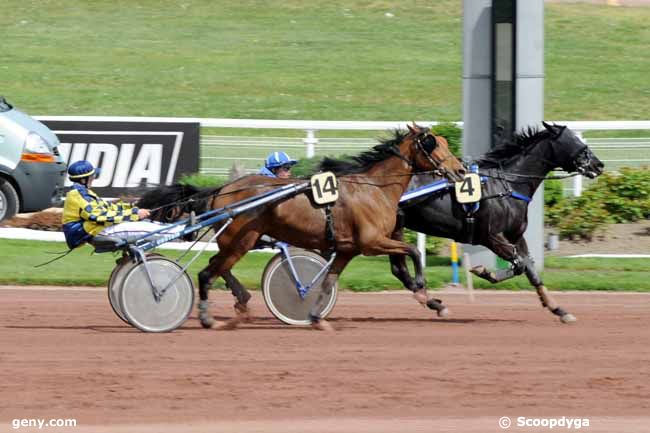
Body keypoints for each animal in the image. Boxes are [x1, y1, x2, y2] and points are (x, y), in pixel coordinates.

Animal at [195, 123, 464, 330]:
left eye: (443, 141)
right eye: (432, 144)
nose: (460, 170)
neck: (375, 189)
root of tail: (222, 189)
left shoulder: (347, 249)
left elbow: (327, 282)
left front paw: (316, 318)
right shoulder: (372, 242)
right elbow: (414, 251)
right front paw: (421, 287)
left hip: (237, 242)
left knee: (216, 266)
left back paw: (240, 301)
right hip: (240, 241)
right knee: (207, 273)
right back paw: (208, 317)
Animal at [392, 120, 604, 320]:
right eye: (575, 142)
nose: (599, 165)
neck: (507, 185)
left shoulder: (516, 235)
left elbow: (530, 268)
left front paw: (558, 309)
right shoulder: (490, 236)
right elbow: (519, 265)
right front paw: (484, 271)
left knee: (398, 269)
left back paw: (433, 303)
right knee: (400, 268)